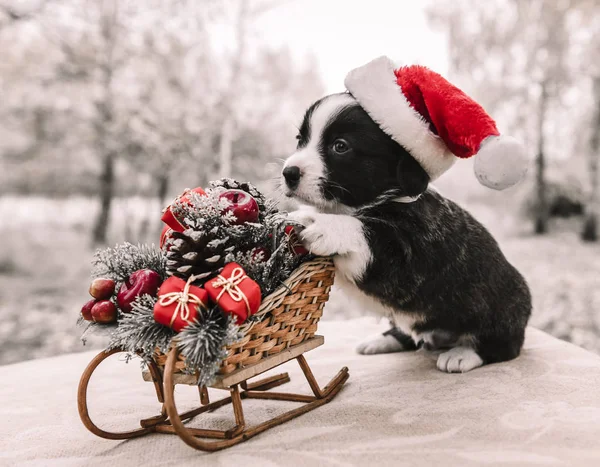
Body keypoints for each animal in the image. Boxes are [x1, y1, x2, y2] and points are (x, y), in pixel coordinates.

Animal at [284, 93, 532, 374]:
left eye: (340, 146)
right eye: (300, 140)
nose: (288, 173)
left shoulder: (406, 258)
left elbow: (361, 230)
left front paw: (319, 223)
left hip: (504, 306)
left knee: (504, 345)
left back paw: (464, 354)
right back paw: (383, 340)